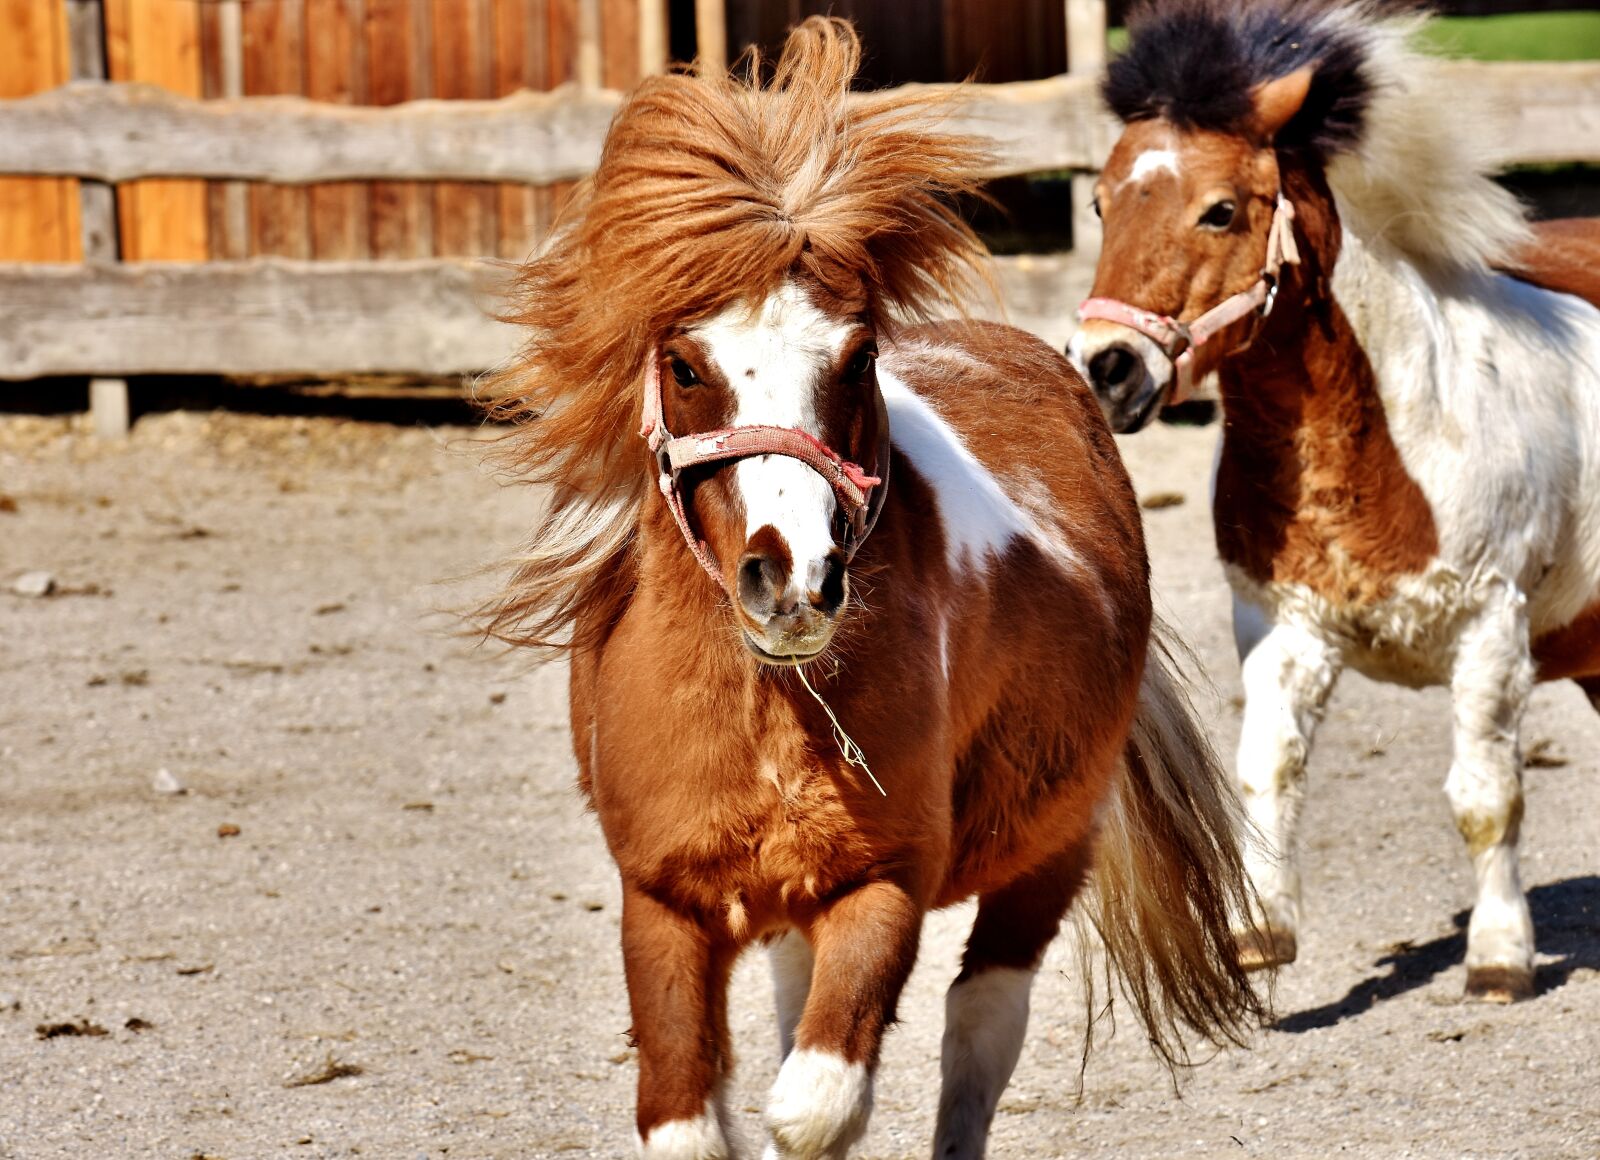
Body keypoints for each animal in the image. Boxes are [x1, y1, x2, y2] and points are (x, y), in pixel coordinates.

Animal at [479, 18, 1260, 1158]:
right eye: (684, 363)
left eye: (855, 358)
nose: (794, 577)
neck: (764, 706)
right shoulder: (663, 903)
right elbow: (689, 1117)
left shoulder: (883, 884)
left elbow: (813, 1107)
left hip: (1046, 853)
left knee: (979, 1026)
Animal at [1069, 0, 1600, 1004]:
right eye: (1102, 203)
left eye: (1222, 209)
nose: (1105, 368)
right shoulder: (1285, 630)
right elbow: (1266, 772)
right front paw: (1261, 931)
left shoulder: (1491, 627)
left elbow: (1487, 798)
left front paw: (1499, 958)